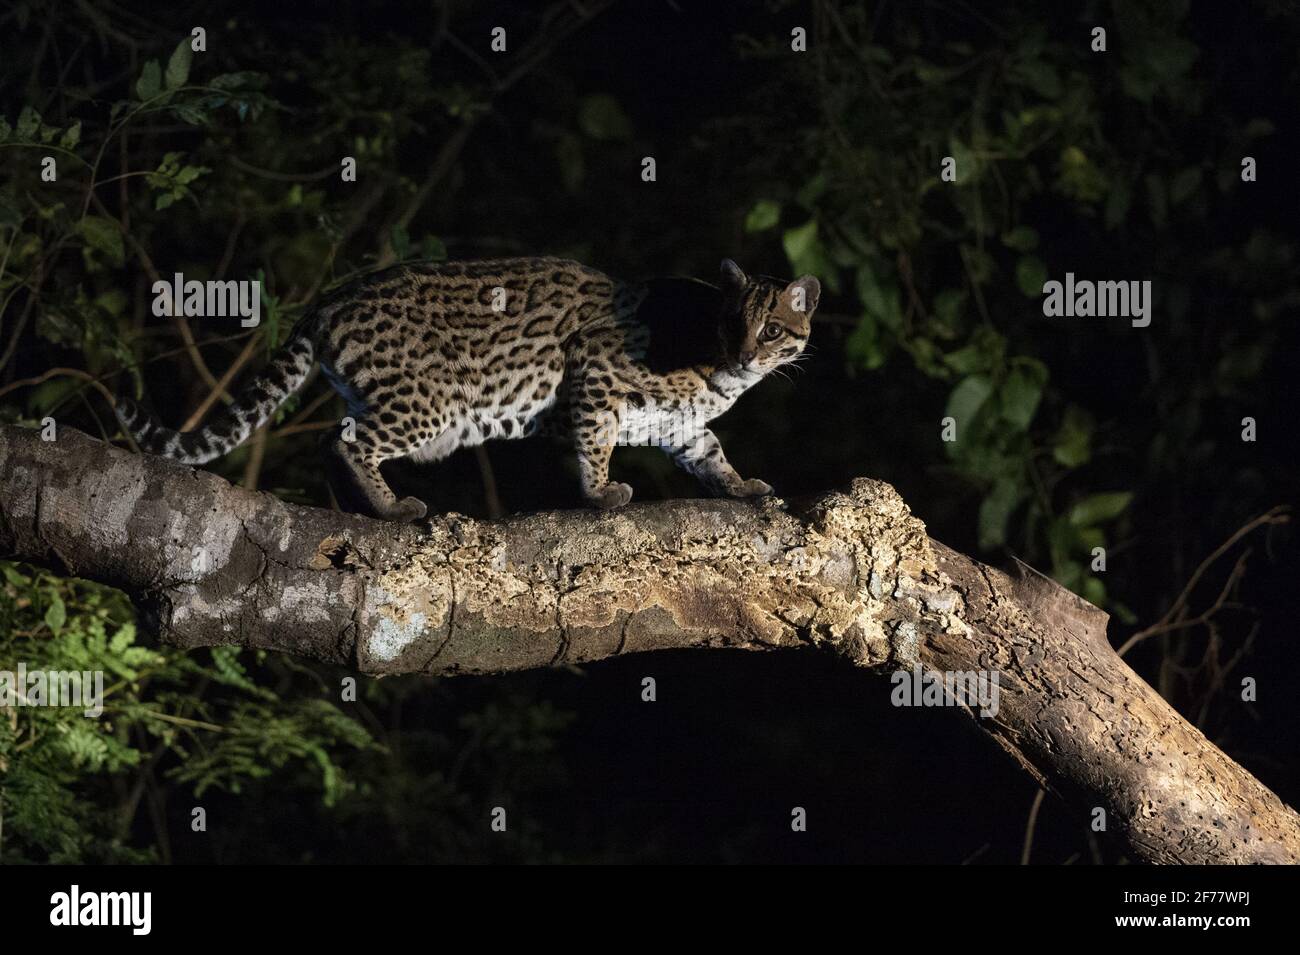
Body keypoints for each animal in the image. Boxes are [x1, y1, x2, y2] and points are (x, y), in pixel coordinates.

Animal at [116, 255, 816, 522]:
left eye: (771, 329)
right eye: (731, 323)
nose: (747, 352)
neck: (717, 368)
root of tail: (332, 299)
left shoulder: (680, 424)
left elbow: (712, 454)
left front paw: (741, 487)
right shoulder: (595, 365)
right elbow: (595, 443)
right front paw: (598, 494)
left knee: (334, 437)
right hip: (427, 404)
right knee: (346, 440)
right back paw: (389, 507)